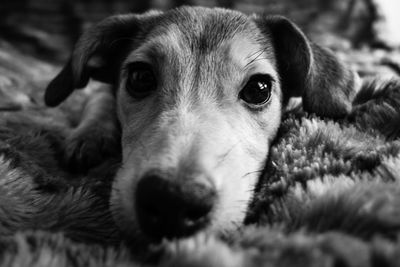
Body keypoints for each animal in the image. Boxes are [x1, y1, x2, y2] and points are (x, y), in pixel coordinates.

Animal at [43, 6, 360, 245]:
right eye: (140, 77)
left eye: (259, 88)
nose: (173, 201)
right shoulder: (101, 91)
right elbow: (99, 97)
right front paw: (89, 136)